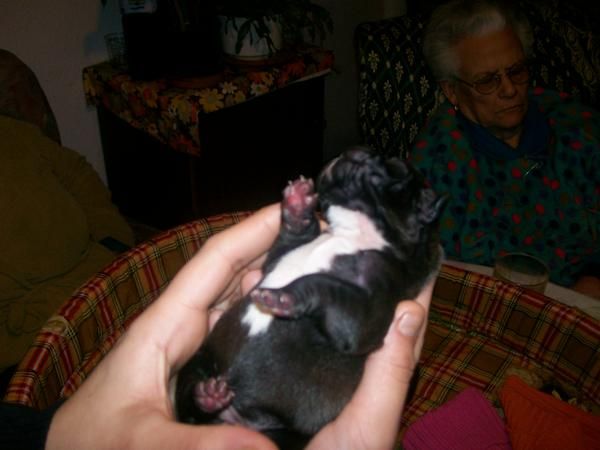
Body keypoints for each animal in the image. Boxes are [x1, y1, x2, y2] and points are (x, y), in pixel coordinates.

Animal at [173, 148, 446, 446]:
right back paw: (207, 397)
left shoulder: (367, 317)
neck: (355, 234)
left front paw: (285, 298)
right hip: (197, 364)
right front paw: (297, 203)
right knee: (189, 405)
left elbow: (326, 285)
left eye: (393, 164)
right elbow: (297, 231)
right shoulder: (284, 251)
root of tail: (234, 417)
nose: (355, 152)